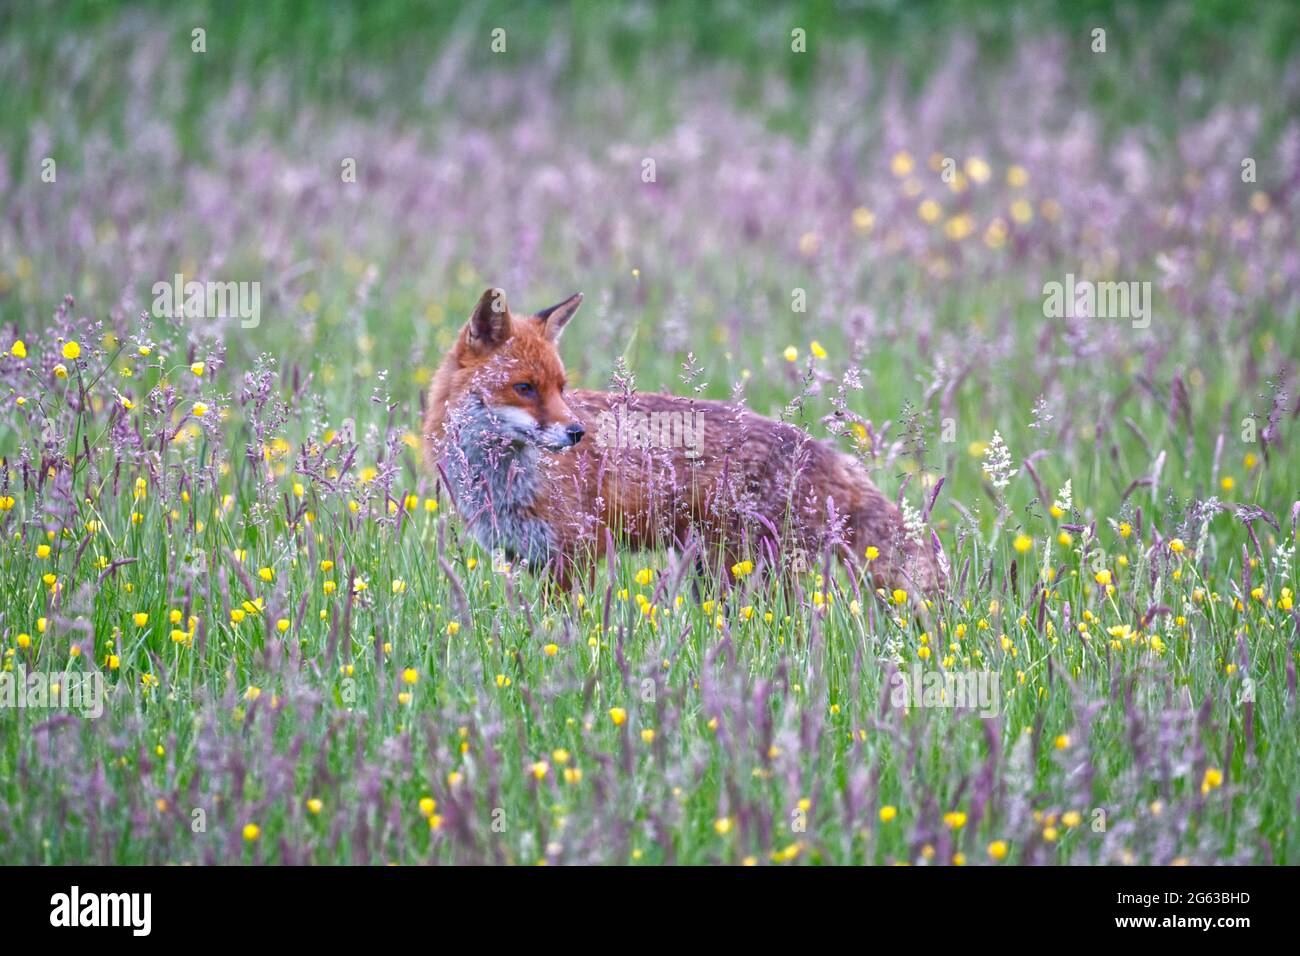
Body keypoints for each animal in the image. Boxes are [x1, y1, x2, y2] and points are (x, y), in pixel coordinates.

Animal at [426, 287, 946, 595]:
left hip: (744, 573)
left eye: (560, 388)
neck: (500, 481)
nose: (577, 433)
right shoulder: (527, 556)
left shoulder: (577, 552)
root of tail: (814, 448)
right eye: (525, 388)